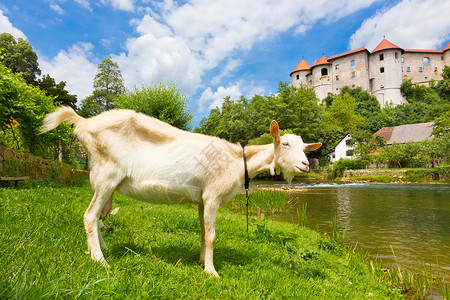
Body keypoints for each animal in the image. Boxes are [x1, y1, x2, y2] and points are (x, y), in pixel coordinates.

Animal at [40, 106, 322, 278]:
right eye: (285, 143)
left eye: (304, 146)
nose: (305, 164)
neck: (236, 160)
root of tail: (84, 122)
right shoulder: (212, 196)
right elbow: (212, 236)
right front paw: (212, 272)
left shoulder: (202, 200)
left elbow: (203, 233)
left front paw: (202, 263)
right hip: (107, 174)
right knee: (89, 216)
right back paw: (100, 261)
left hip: (102, 180)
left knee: (98, 216)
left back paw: (101, 250)